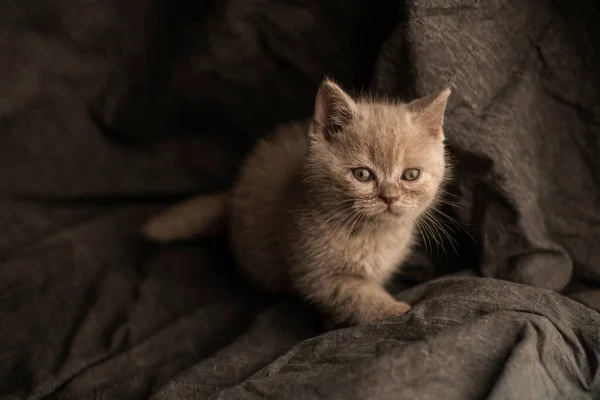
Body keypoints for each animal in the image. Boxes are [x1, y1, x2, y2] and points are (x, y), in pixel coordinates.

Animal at [142, 79, 450, 326]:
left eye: (410, 175)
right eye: (362, 174)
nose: (389, 197)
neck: (373, 235)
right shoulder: (316, 273)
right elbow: (355, 296)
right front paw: (395, 309)